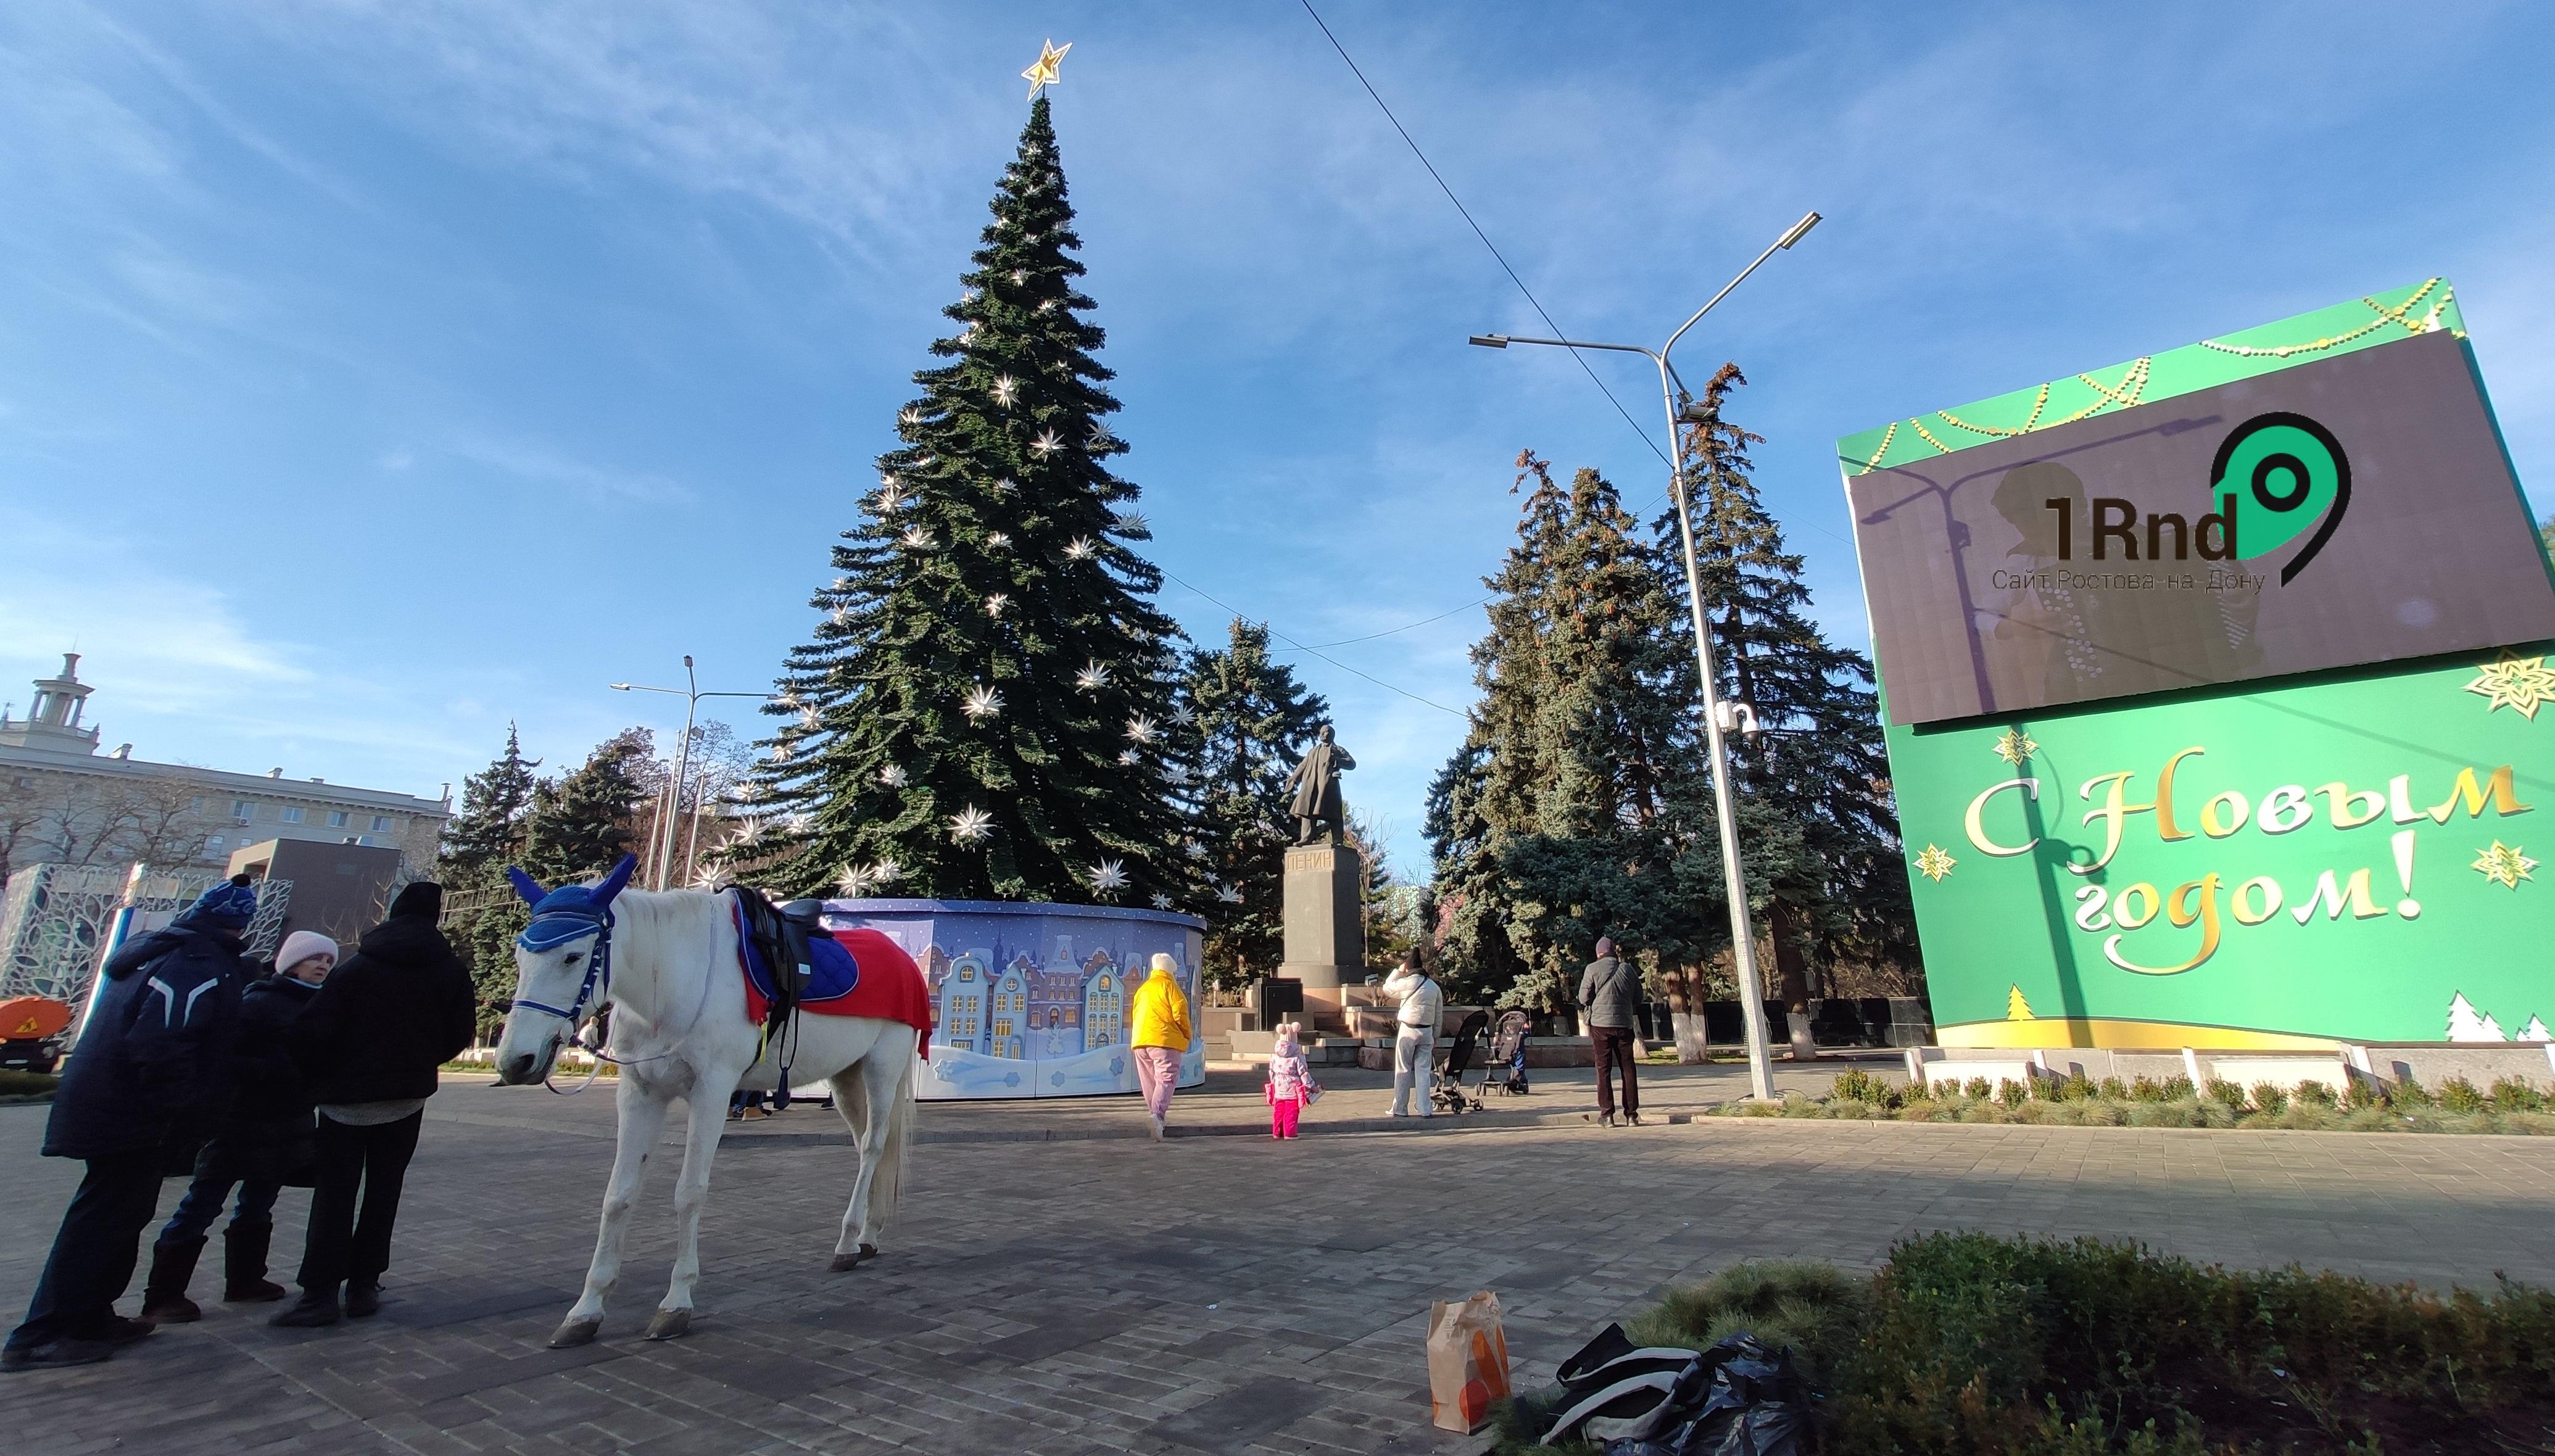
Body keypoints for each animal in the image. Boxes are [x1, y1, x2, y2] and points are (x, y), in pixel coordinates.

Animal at [487, 858, 919, 1338]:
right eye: (520, 957)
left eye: (573, 956)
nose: (516, 1061)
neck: (671, 982)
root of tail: (903, 958)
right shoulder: (639, 1096)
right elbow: (618, 1196)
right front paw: (587, 1309)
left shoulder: (712, 1092)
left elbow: (689, 1192)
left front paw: (676, 1301)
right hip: (844, 1076)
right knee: (867, 1146)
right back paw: (867, 1236)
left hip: (882, 1067)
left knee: (873, 1147)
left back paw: (847, 1243)